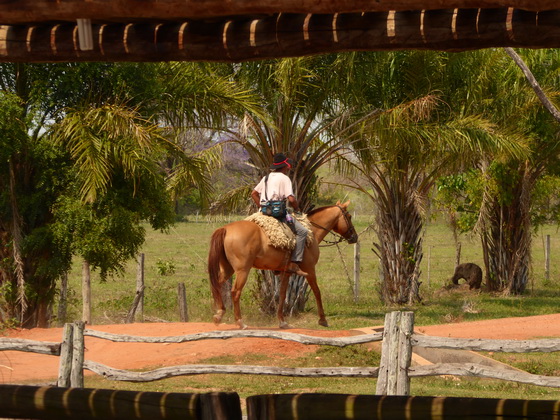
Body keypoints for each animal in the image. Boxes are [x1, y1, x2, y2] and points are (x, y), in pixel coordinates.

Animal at [207, 199, 358, 330]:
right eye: (349, 216)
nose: (354, 237)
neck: (311, 231)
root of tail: (225, 229)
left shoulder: (287, 272)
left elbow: (282, 294)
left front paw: (282, 322)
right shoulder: (309, 269)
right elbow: (317, 291)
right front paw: (323, 320)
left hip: (228, 269)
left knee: (218, 285)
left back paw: (219, 314)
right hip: (242, 270)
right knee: (235, 292)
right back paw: (240, 322)